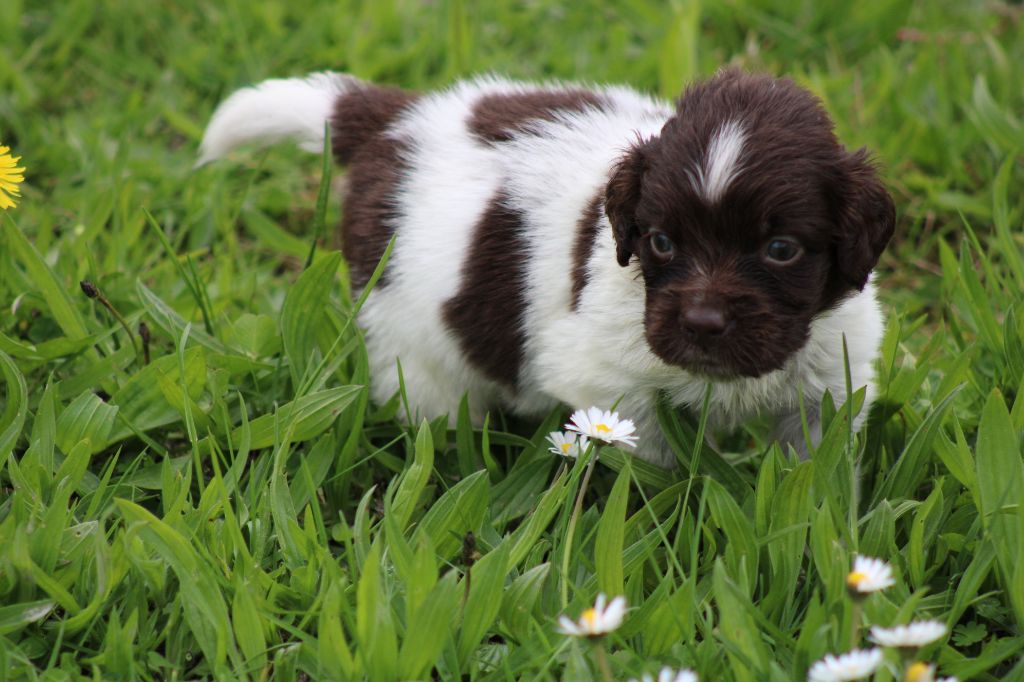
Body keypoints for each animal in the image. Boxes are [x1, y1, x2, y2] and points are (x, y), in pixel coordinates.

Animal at [198, 69, 894, 466]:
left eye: (782, 250)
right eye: (661, 242)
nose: (701, 323)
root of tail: (397, 120)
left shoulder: (831, 378)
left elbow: (812, 478)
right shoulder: (610, 385)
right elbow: (652, 473)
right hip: (408, 340)